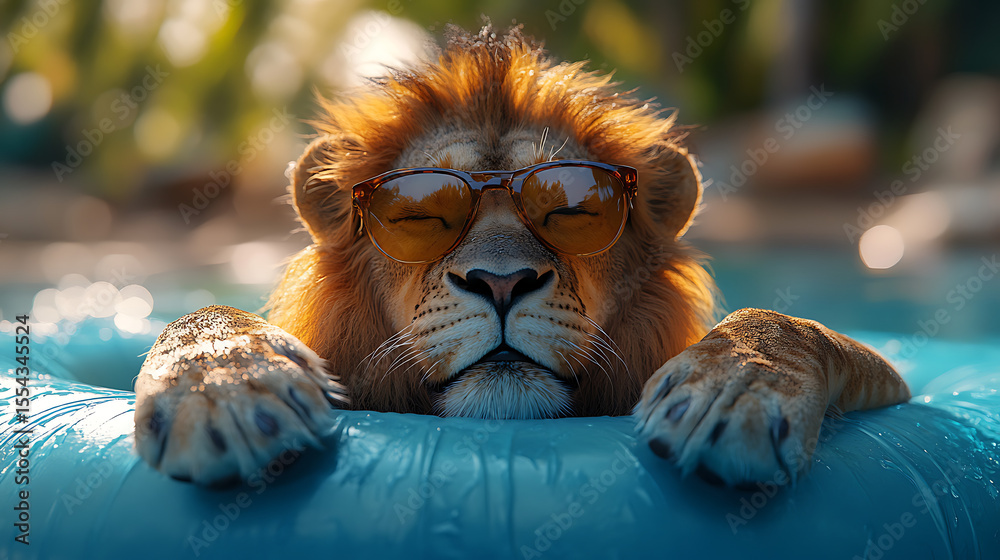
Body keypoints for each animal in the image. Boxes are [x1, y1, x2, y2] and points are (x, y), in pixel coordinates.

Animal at [134, 24, 910, 488]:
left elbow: (787, 324)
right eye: (420, 215)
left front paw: (735, 392)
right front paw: (225, 389)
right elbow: (203, 312)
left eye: (571, 210)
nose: (501, 283)